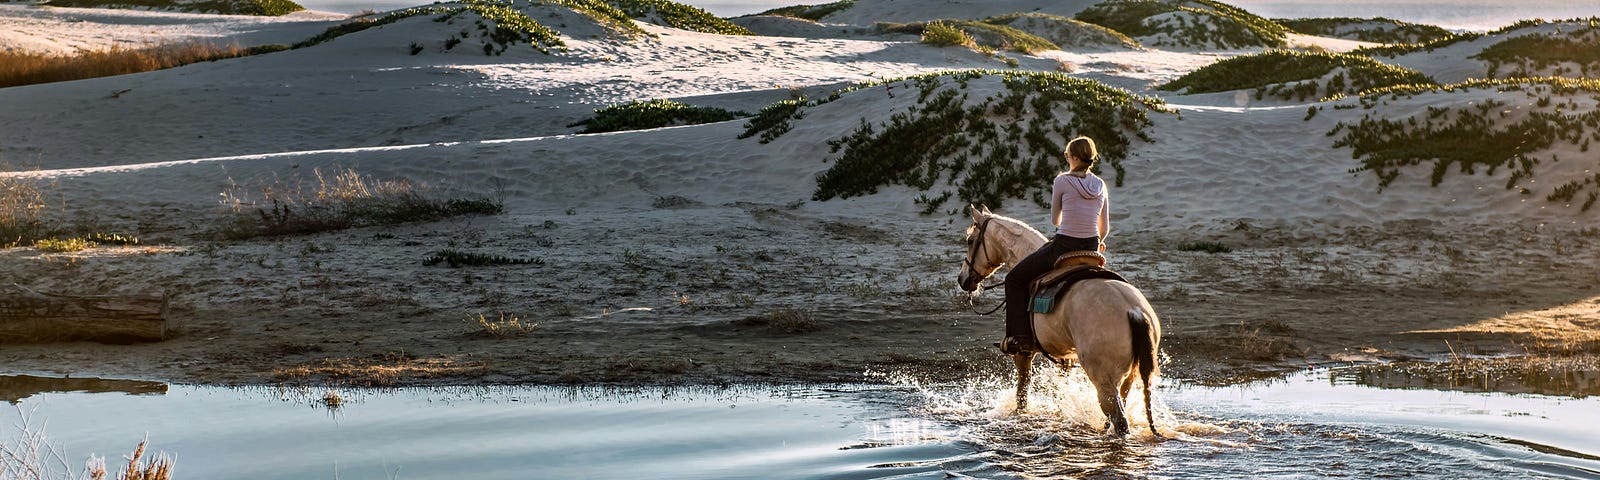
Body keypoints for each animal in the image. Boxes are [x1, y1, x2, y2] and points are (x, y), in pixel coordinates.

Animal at [947, 204, 1164, 438]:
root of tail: (1134, 311)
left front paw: (1019, 416)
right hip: (1129, 377)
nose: (962, 279)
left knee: (1120, 420)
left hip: (1104, 381)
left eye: (970, 241)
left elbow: (1022, 392)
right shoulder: (1065, 358)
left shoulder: (1023, 352)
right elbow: (1059, 391)